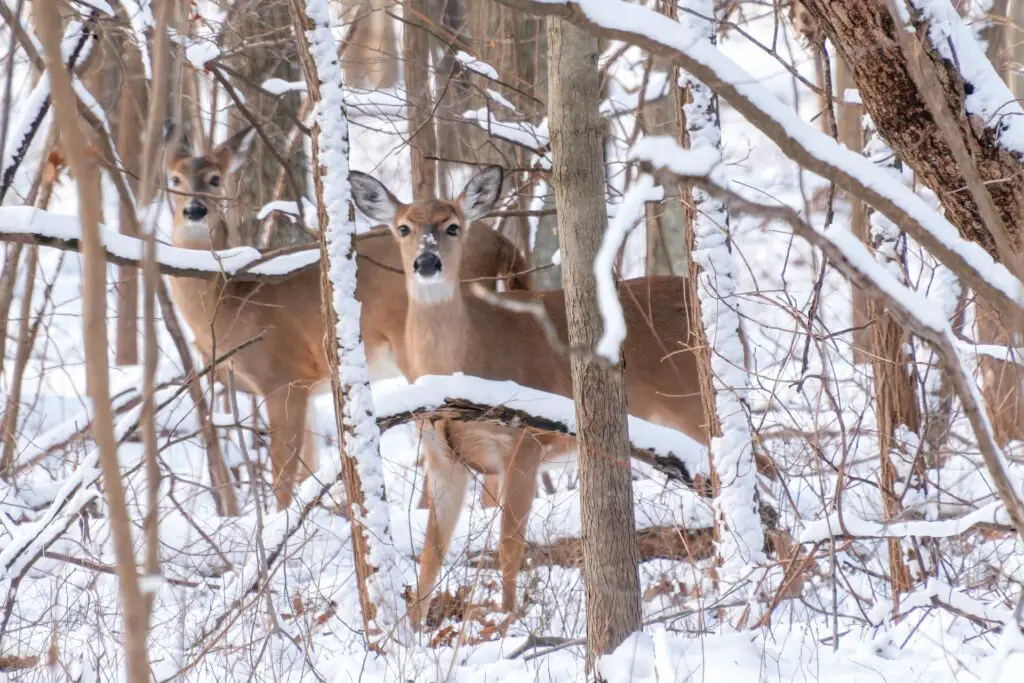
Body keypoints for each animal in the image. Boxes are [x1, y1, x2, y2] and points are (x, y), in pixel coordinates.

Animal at [163, 131, 532, 509]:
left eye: (215, 179)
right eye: (174, 178)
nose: (194, 209)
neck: (227, 297)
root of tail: (505, 244)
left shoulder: (282, 376)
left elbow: (284, 475)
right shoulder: (307, 388)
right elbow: (307, 469)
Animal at [348, 163, 708, 626]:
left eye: (452, 226)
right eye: (403, 227)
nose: (427, 261)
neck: (466, 360)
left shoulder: (525, 441)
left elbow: (509, 544)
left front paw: (506, 622)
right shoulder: (442, 457)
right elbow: (431, 555)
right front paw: (409, 633)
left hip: (694, 406)